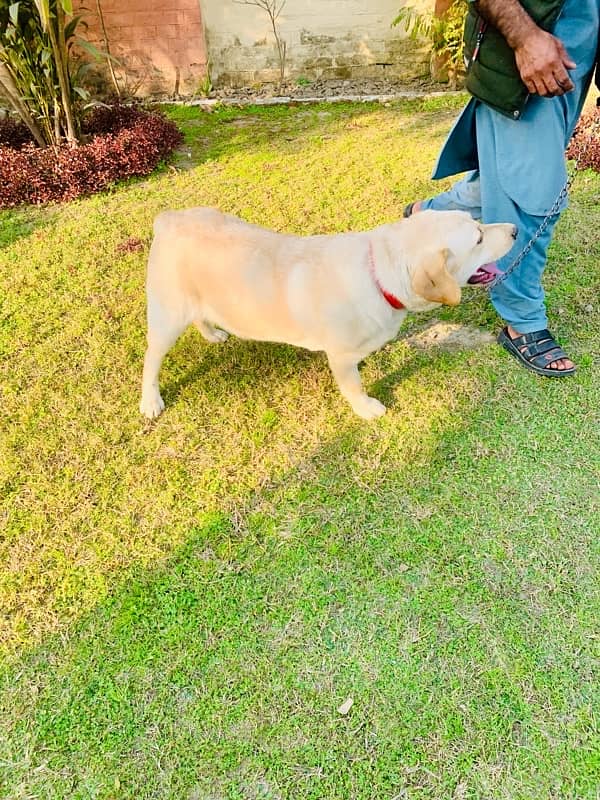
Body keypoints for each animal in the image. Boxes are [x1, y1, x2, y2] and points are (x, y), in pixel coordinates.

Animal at [141, 208, 516, 418]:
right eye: (478, 237)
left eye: (477, 223)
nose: (515, 229)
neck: (377, 274)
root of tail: (167, 219)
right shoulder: (340, 355)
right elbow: (353, 386)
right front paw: (366, 409)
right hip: (167, 317)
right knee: (151, 358)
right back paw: (150, 401)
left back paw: (213, 332)